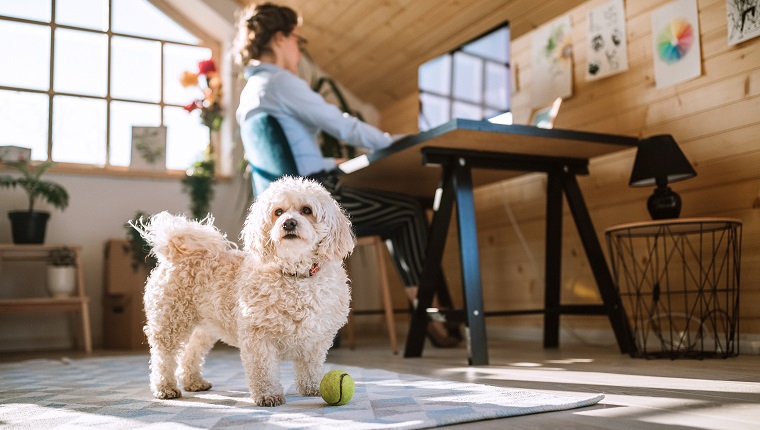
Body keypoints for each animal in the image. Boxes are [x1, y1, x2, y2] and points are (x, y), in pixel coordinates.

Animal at [132, 176, 354, 406]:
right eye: (278, 212)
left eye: (307, 210)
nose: (289, 223)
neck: (295, 274)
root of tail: (177, 252)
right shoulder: (258, 335)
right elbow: (263, 369)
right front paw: (268, 394)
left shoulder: (316, 338)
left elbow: (310, 366)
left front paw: (312, 387)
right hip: (171, 322)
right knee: (163, 357)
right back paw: (165, 387)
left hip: (204, 328)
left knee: (191, 352)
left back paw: (193, 381)